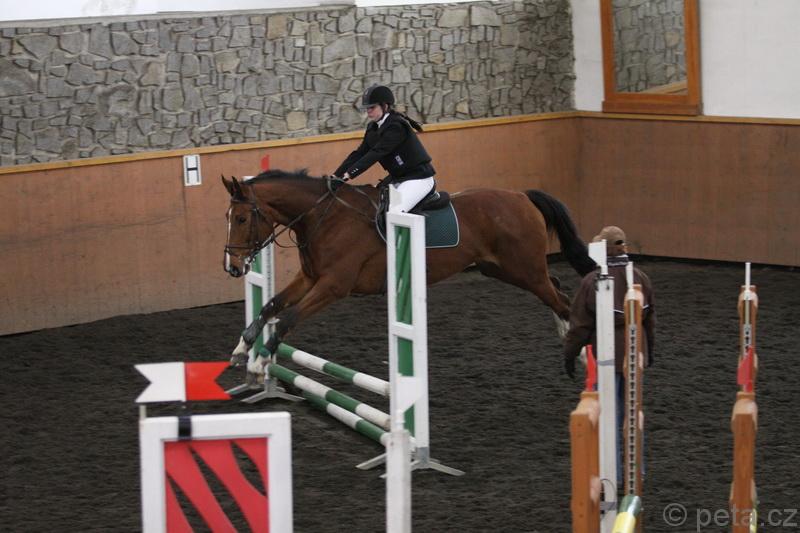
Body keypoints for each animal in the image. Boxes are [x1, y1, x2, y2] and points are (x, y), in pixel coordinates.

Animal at [222, 169, 595, 376]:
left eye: (241, 218)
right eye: (228, 217)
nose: (233, 267)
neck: (324, 217)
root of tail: (522, 196)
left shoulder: (333, 286)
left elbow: (288, 317)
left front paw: (260, 362)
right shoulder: (311, 279)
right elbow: (270, 306)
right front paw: (242, 350)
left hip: (524, 269)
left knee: (560, 298)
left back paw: (577, 352)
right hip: (504, 270)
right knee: (556, 289)